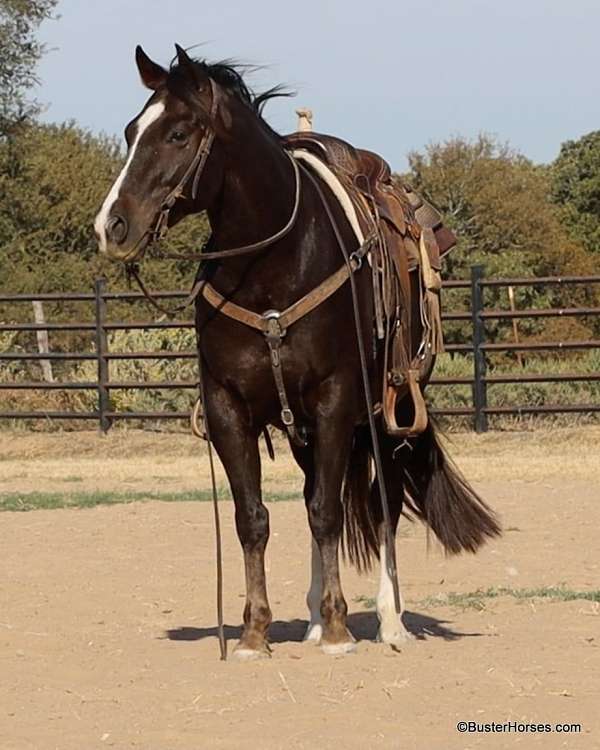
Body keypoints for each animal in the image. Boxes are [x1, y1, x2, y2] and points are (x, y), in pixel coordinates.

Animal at [92, 44, 496, 660]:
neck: (273, 269)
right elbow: (255, 517)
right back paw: (309, 619)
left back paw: (388, 620)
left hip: (389, 416)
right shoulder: (229, 408)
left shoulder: (335, 402)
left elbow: (330, 513)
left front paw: (339, 629)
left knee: (380, 504)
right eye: (131, 130)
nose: (111, 226)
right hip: (303, 427)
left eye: (179, 133)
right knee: (312, 496)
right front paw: (255, 632)